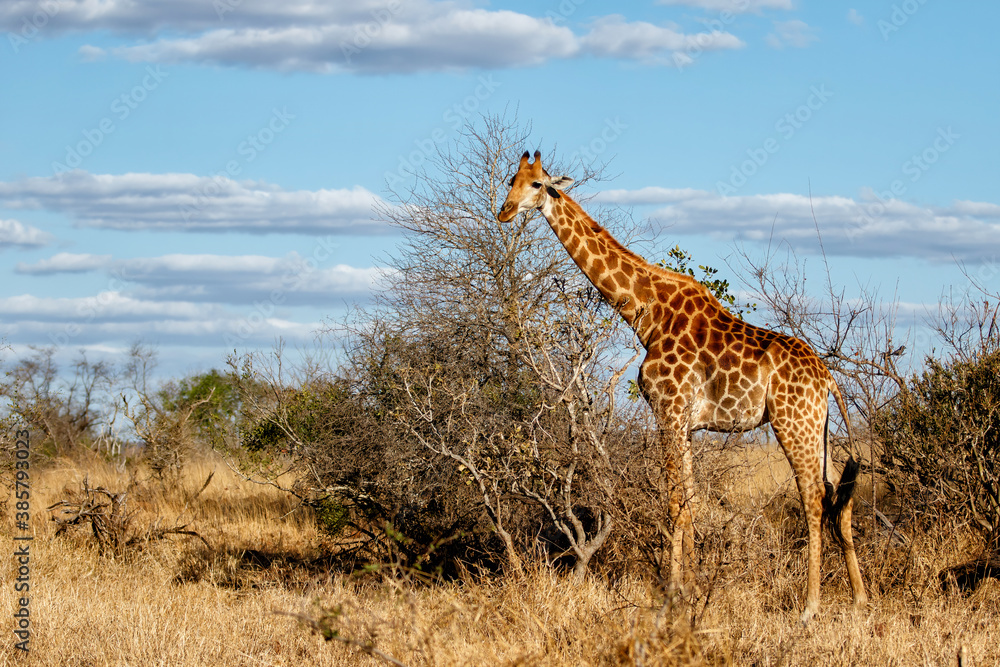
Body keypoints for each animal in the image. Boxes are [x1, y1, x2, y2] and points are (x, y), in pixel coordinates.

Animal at [497, 151, 867, 623]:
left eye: (538, 184)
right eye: (511, 179)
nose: (504, 211)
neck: (646, 314)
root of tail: (828, 378)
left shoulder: (668, 409)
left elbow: (674, 503)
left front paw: (672, 599)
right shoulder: (686, 423)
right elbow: (689, 501)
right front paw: (692, 592)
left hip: (791, 423)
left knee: (814, 496)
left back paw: (810, 607)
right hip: (817, 428)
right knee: (839, 494)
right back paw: (858, 599)